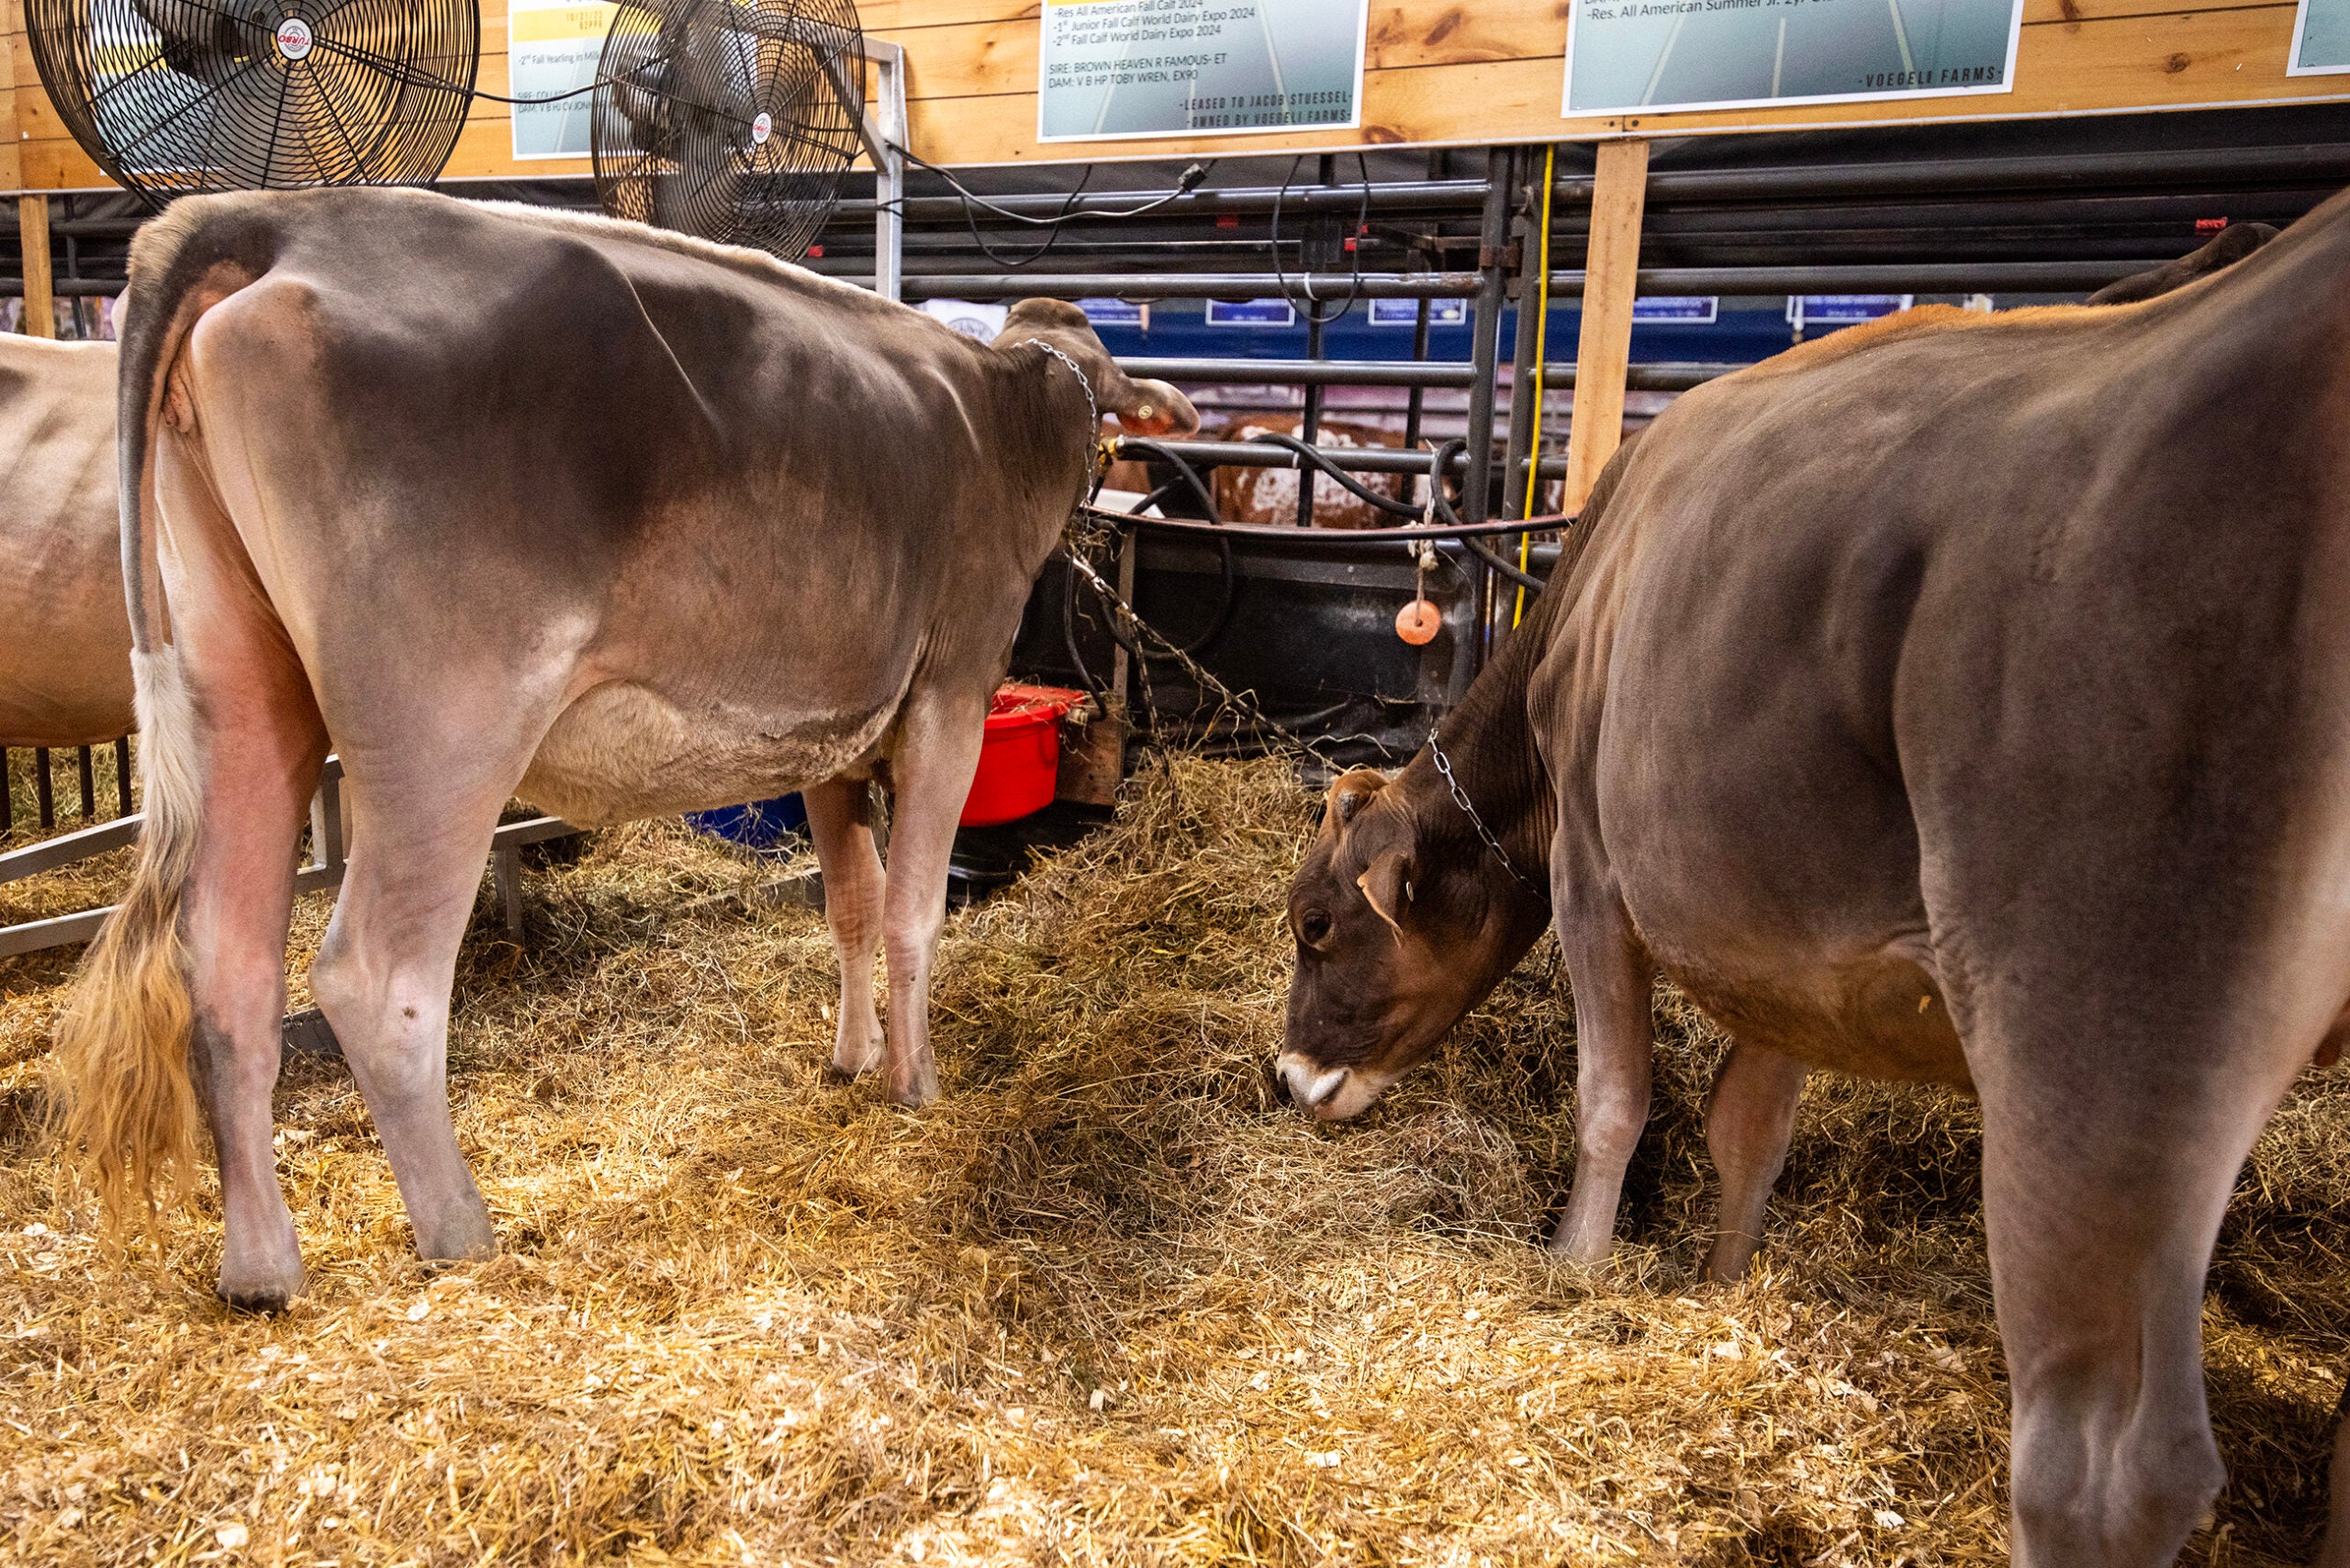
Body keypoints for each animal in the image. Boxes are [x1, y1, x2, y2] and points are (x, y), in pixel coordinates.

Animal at [53, 186, 1195, 1312]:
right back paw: (462, 1234)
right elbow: (912, 911)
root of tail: (278, 218)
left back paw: (260, 1269)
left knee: (228, 967)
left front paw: (852, 1058)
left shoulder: (834, 737)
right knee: (374, 979)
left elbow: (851, 906)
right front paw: (913, 1082)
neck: (1003, 414)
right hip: (444, 728)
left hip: (239, 681)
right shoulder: (951, 693)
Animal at [1277, 191, 2350, 1566]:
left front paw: (1576, 1266)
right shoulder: (1779, 935)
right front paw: (1721, 1287)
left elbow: (1615, 1099)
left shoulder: (1596, 878)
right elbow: (1750, 1130)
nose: (1288, 1078)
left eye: (1315, 926)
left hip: (2109, 1033)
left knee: (2112, 1464)